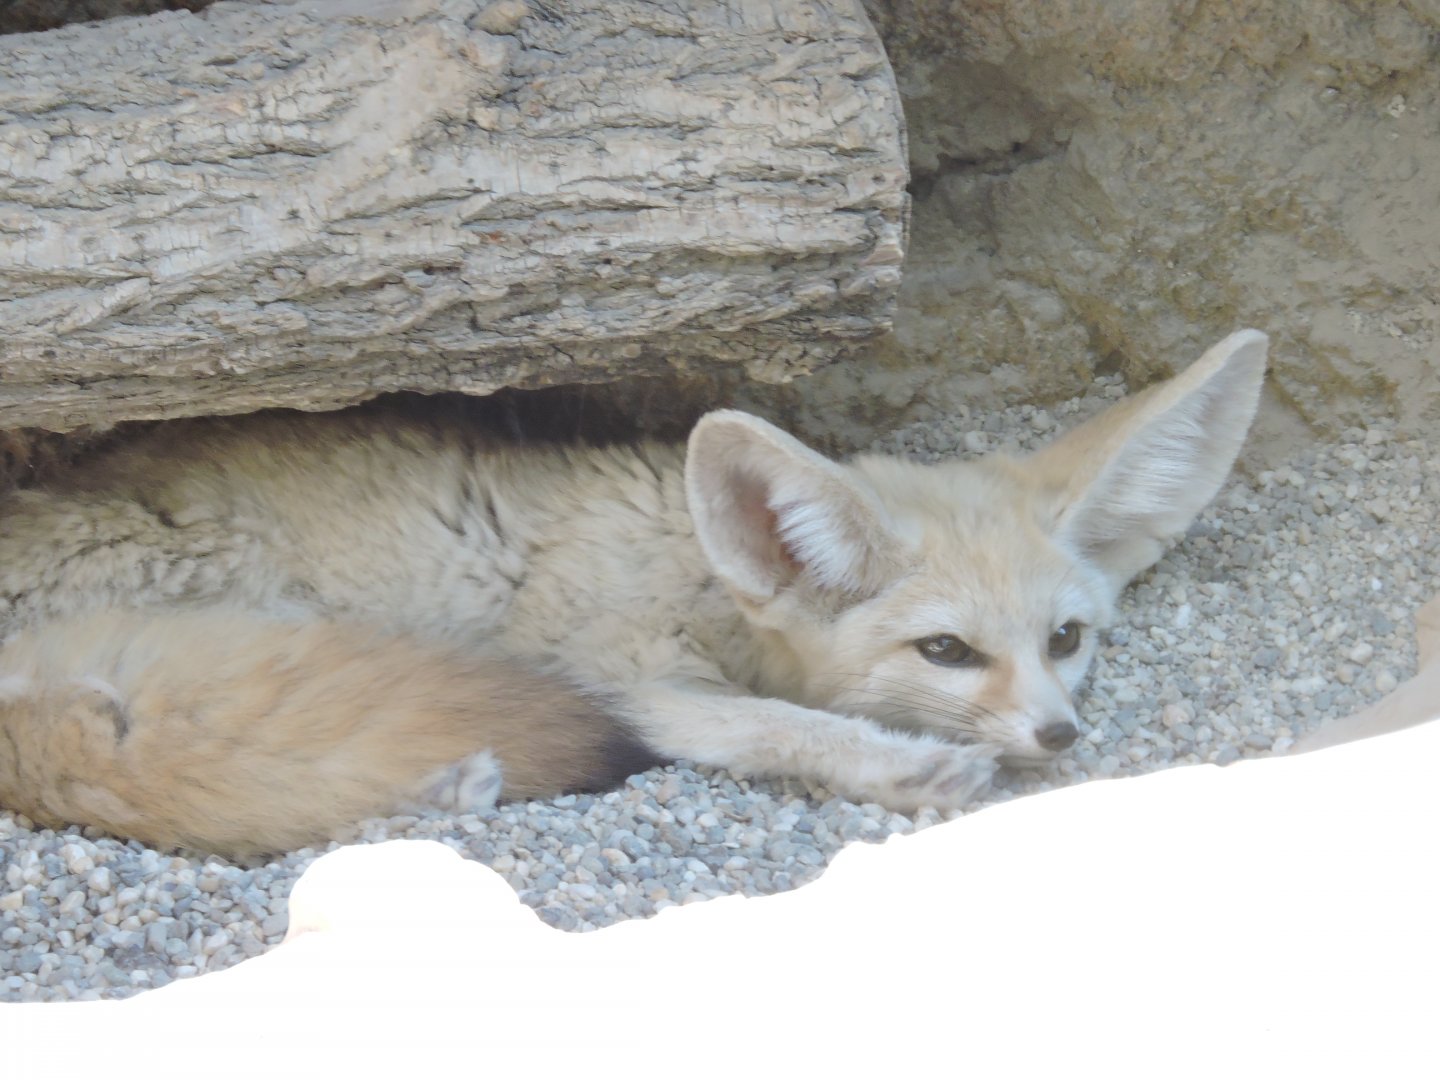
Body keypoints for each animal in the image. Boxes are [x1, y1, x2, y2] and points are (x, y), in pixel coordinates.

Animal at [0, 330, 1267, 858]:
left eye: (1066, 639)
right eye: (947, 651)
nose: (1061, 736)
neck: (692, 560)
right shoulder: (621, 672)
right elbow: (771, 722)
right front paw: (898, 765)